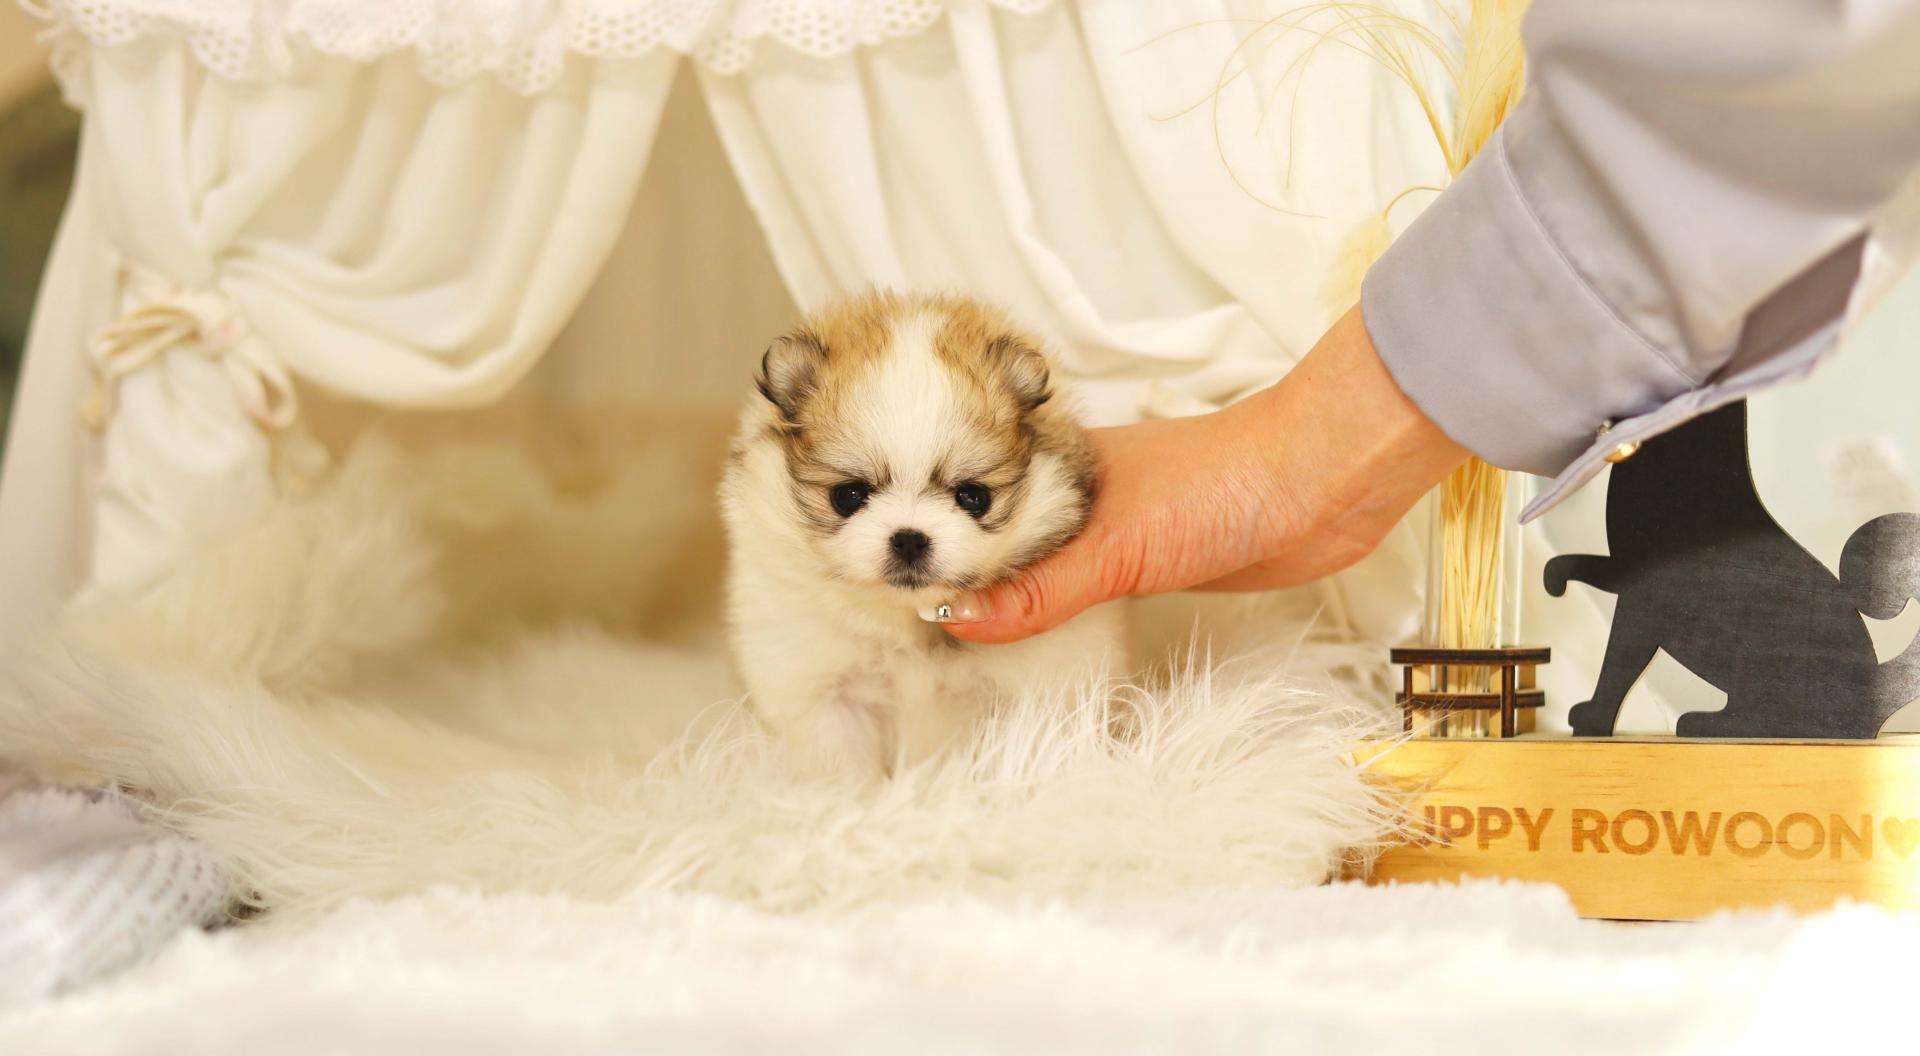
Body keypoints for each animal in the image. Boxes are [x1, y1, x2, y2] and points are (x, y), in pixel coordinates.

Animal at [720, 291, 1126, 776]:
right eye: (848, 495)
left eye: (973, 497)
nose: (909, 538)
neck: (907, 625)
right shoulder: (821, 689)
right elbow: (841, 763)